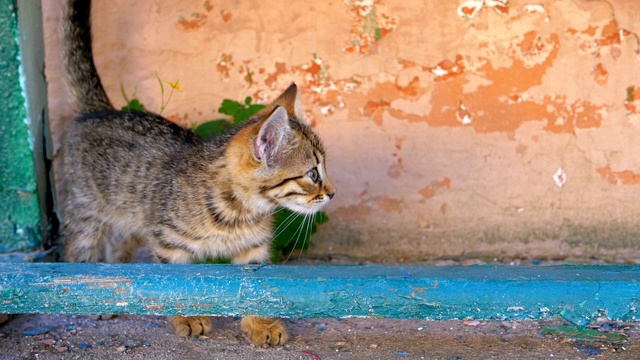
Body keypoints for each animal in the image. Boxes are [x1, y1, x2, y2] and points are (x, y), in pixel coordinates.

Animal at [61, 0, 336, 348]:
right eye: (313, 173)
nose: (332, 193)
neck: (240, 210)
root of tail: (102, 110)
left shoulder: (254, 249)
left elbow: (255, 290)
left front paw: (260, 324)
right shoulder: (167, 239)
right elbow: (177, 283)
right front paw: (188, 317)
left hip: (129, 216)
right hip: (86, 212)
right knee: (78, 251)